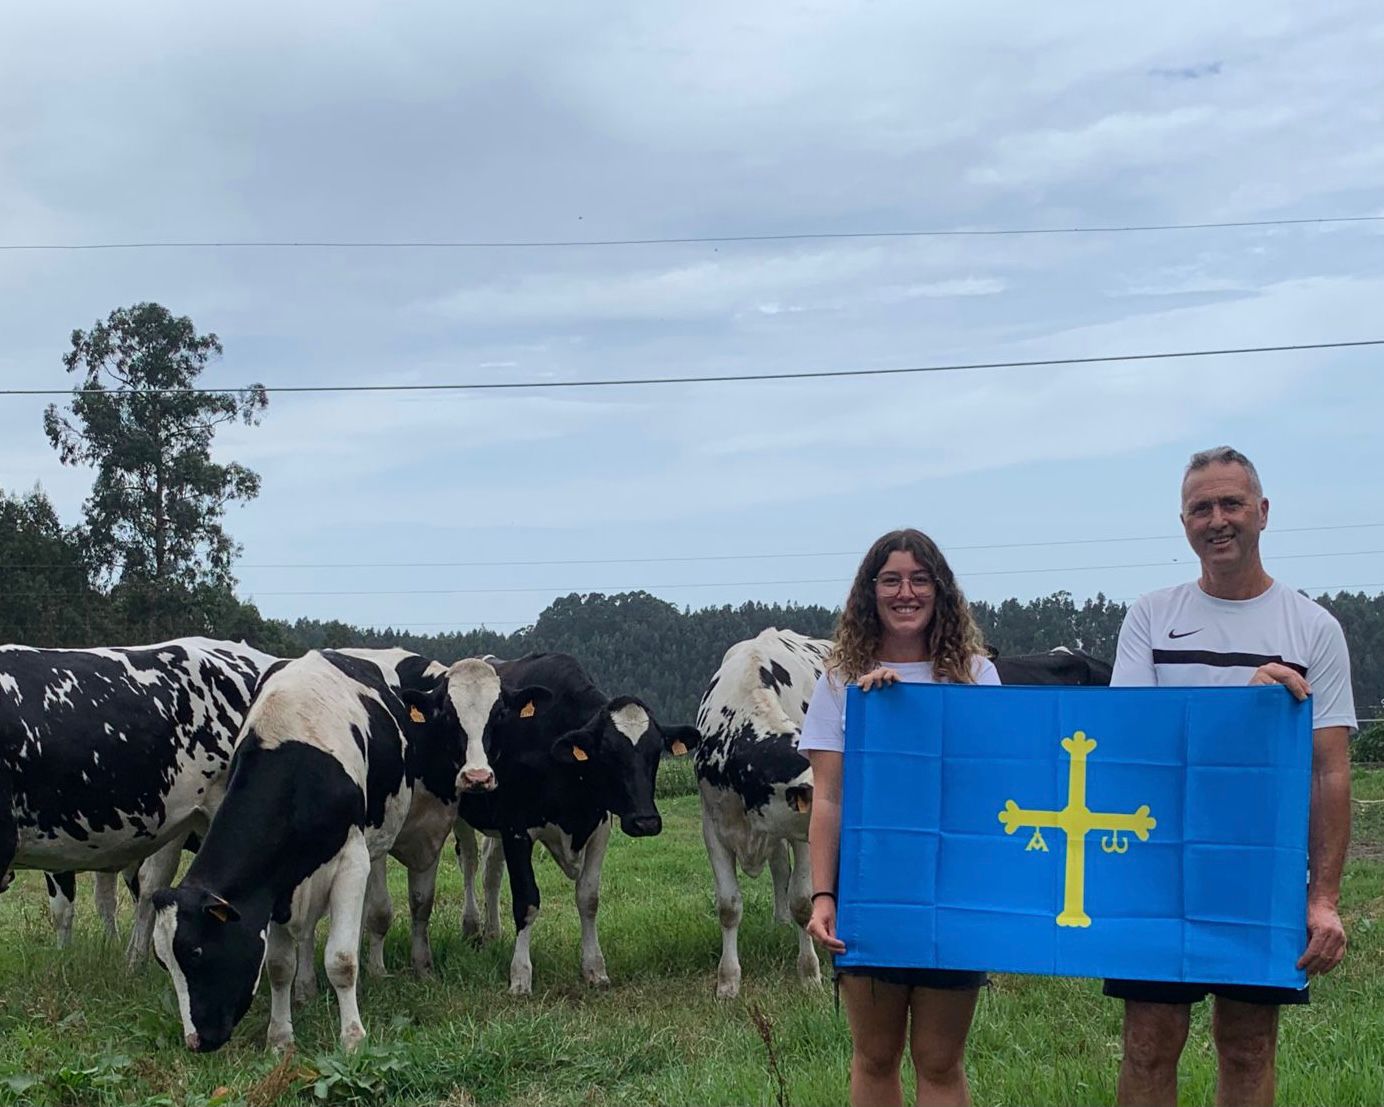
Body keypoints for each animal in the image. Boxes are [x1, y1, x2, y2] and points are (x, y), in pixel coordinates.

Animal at [151, 653, 534, 1051]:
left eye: (197, 953)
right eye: (164, 962)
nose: (196, 1041)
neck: (295, 755)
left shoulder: (353, 861)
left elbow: (342, 959)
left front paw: (352, 1037)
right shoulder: (276, 881)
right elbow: (279, 965)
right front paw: (281, 1037)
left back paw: (412, 966)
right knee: (311, 932)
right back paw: (307, 988)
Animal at [451, 653, 697, 996]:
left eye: (655, 752)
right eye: (608, 753)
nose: (646, 821)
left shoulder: (599, 827)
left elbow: (588, 899)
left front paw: (594, 968)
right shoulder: (517, 829)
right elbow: (526, 900)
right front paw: (520, 976)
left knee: (491, 872)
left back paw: (492, 933)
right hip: (462, 814)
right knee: (471, 863)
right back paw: (472, 927)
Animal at [692, 628, 830, 996]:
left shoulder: (803, 837)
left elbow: (803, 902)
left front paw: (809, 972)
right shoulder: (713, 827)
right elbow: (729, 906)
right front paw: (728, 981)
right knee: (780, 867)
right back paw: (780, 924)